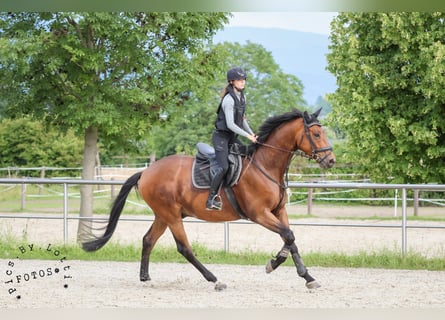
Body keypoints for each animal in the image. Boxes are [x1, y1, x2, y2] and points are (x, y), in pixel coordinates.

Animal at [81, 107, 334, 290]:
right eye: (316, 134)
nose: (330, 161)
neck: (265, 166)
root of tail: (146, 172)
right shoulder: (259, 214)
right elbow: (289, 235)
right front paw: (299, 273)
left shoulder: (278, 211)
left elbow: (289, 239)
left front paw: (286, 268)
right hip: (172, 216)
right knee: (184, 248)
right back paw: (215, 279)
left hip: (164, 215)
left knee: (148, 240)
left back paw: (145, 277)